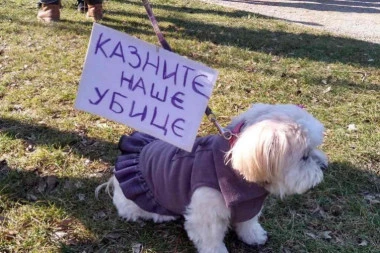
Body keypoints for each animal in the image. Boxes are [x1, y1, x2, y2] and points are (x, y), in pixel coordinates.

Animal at [96, 103, 328, 253]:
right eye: (304, 156)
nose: (324, 165)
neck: (236, 169)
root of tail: (116, 176)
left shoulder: (248, 204)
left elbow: (248, 223)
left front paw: (253, 236)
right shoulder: (207, 214)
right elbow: (211, 240)